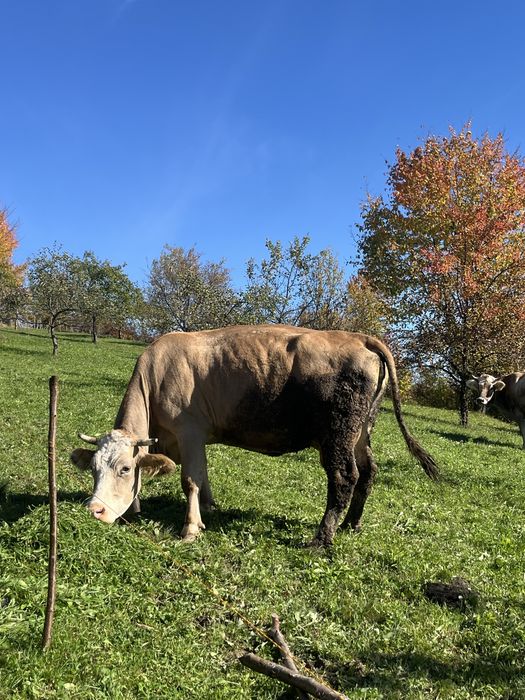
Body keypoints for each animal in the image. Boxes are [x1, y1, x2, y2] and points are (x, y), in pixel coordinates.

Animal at [70, 325, 438, 546]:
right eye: (93, 470)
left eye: (124, 469)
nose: (94, 511)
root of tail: (360, 337)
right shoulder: (197, 438)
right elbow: (203, 475)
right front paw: (208, 508)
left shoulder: (189, 430)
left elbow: (190, 480)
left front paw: (190, 529)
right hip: (361, 430)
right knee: (369, 472)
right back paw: (351, 524)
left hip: (337, 434)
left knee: (345, 477)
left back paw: (322, 538)